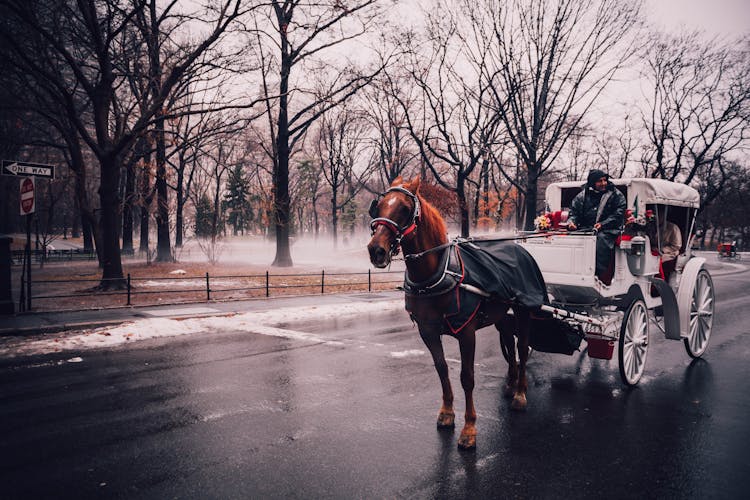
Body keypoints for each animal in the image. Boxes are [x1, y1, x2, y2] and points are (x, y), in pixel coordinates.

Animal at [368, 177, 536, 450]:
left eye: (405, 208)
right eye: (379, 206)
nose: (376, 250)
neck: (438, 272)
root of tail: (518, 248)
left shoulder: (466, 331)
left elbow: (467, 377)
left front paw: (469, 429)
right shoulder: (428, 331)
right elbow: (442, 369)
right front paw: (447, 412)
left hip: (523, 311)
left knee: (521, 347)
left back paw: (520, 393)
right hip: (501, 315)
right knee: (509, 344)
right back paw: (511, 383)